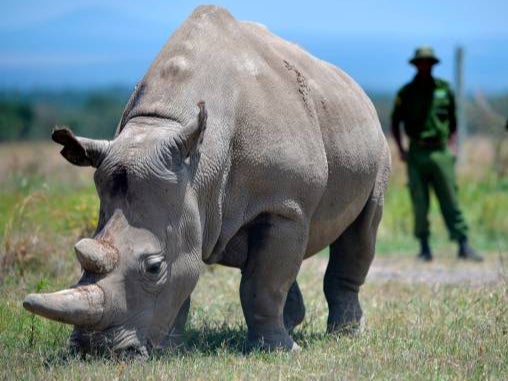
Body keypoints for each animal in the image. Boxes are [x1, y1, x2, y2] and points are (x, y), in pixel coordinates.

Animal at [22, 5, 388, 354]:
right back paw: (294, 323)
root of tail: (356, 88)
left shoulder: (283, 205)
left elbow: (263, 285)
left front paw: (281, 351)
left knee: (362, 229)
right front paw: (170, 349)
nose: (95, 350)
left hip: (376, 143)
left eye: (154, 267)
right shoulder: (188, 196)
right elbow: (191, 271)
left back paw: (346, 333)